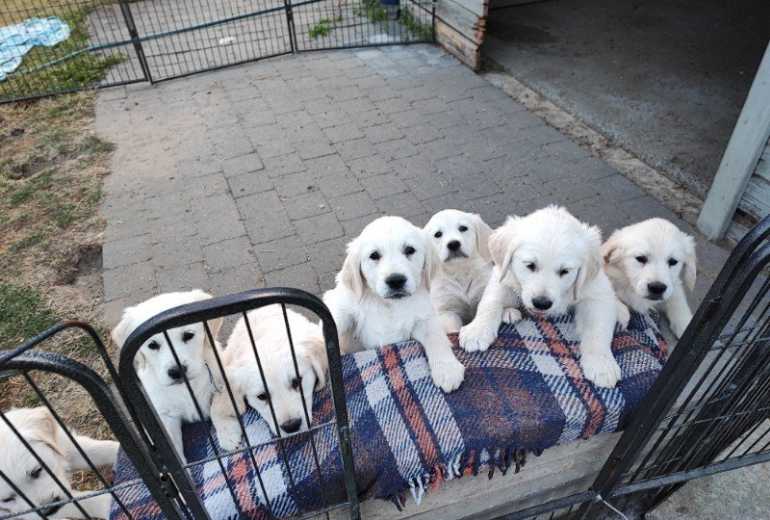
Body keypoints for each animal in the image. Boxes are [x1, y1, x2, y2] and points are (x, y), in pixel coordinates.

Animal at [111, 288, 230, 464]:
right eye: (152, 345)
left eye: (188, 335)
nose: (177, 371)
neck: (185, 387)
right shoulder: (164, 416)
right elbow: (172, 446)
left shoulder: (221, 382)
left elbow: (218, 408)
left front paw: (229, 436)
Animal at [322, 213, 464, 392]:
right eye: (374, 255)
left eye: (410, 250)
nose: (396, 280)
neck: (388, 305)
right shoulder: (342, 302)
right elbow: (330, 324)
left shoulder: (423, 317)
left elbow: (435, 336)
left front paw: (447, 368)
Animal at [460, 205, 620, 388]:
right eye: (530, 265)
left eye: (565, 271)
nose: (541, 303)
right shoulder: (503, 275)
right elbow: (490, 301)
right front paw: (477, 331)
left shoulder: (597, 291)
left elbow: (598, 328)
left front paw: (602, 365)